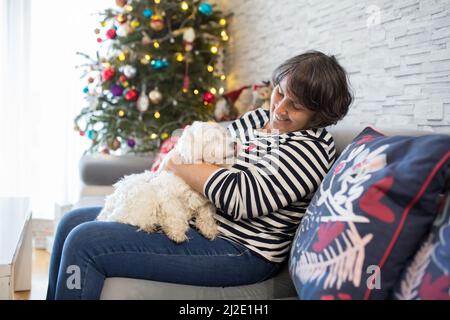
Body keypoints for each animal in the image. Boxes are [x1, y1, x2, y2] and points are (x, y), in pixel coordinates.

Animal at [96, 122, 237, 242]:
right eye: (214, 138)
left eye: (226, 134)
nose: (235, 144)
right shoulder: (169, 197)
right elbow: (175, 213)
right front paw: (177, 232)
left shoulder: (205, 201)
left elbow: (206, 214)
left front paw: (208, 228)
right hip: (141, 194)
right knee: (127, 217)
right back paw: (149, 224)